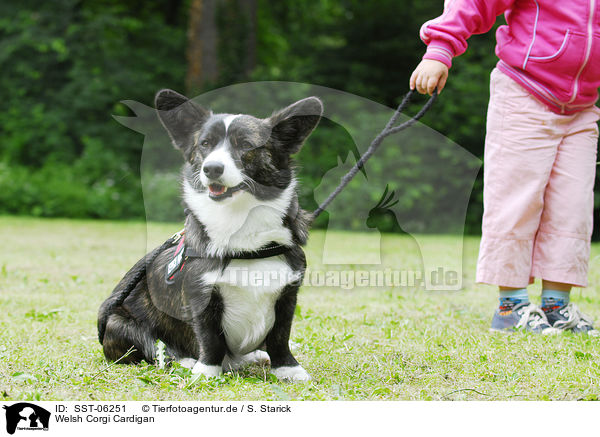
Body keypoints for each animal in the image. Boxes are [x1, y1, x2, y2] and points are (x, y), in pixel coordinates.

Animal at [98, 89, 324, 382]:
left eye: (246, 145)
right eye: (205, 144)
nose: (212, 168)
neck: (240, 223)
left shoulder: (287, 294)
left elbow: (280, 337)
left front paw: (288, 369)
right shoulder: (201, 295)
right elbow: (210, 338)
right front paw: (206, 371)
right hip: (118, 322)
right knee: (156, 349)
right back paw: (185, 361)